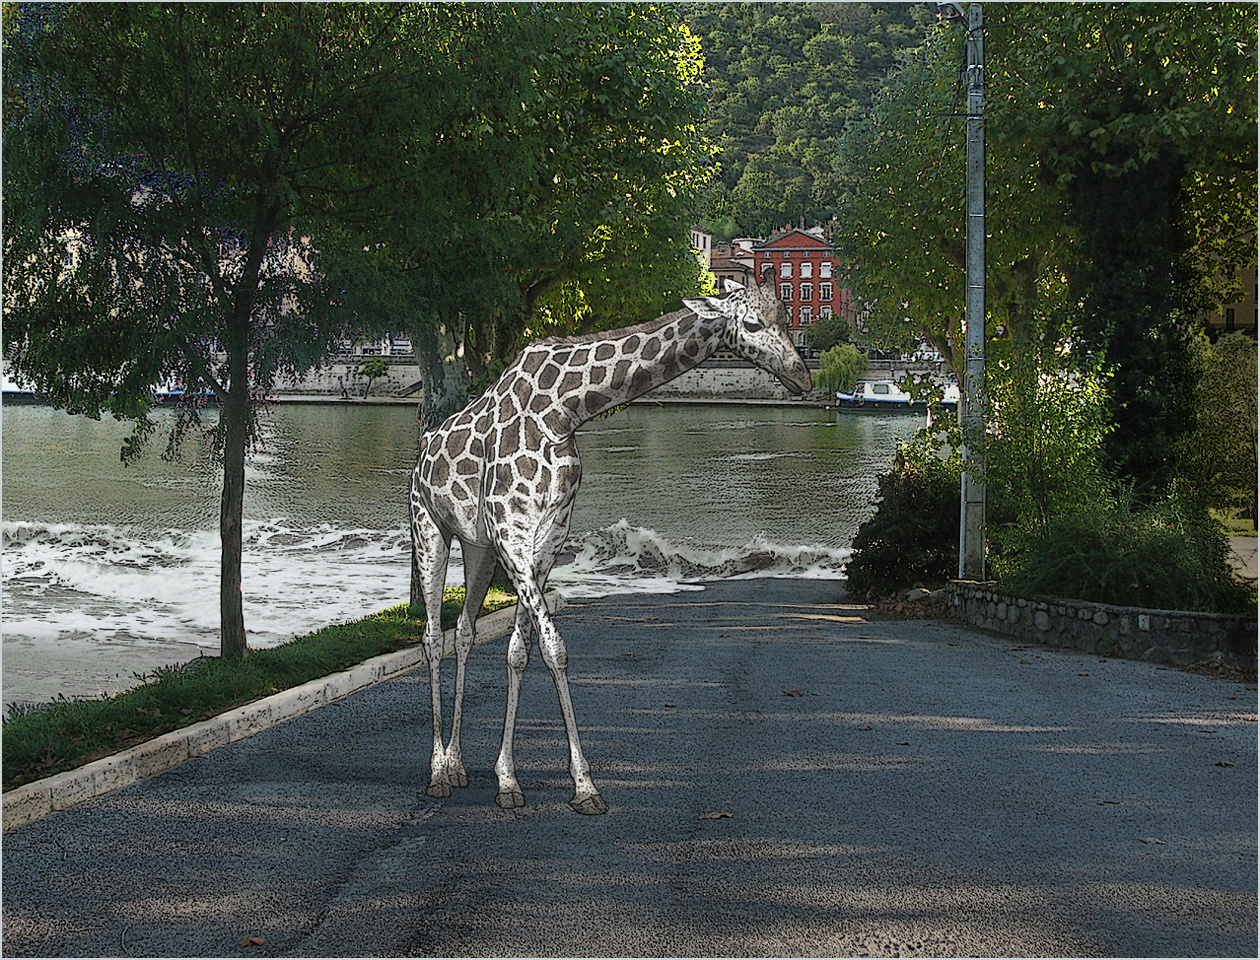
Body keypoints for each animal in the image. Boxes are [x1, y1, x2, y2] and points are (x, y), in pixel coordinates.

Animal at [408, 274, 811, 806]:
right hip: (430, 527)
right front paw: (580, 784)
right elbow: (554, 646)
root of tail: (421, 453)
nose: (803, 378)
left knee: (464, 632)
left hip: (477, 547)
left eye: (787, 316)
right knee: (433, 635)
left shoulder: (545, 539)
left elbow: (521, 650)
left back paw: (456, 765)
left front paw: (512, 779)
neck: (565, 410)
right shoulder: (511, 532)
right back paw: (436, 772)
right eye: (751, 325)